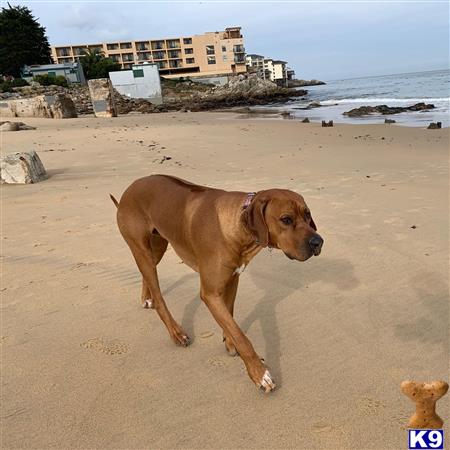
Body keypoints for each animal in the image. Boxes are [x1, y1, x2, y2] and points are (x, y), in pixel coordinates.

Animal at [110, 174, 322, 392]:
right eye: (286, 219)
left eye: (307, 215)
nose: (318, 242)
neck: (238, 227)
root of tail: (131, 187)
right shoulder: (210, 293)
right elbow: (241, 335)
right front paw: (259, 373)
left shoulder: (233, 279)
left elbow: (230, 318)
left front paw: (229, 343)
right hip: (139, 245)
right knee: (158, 294)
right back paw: (176, 332)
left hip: (158, 245)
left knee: (147, 273)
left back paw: (147, 298)